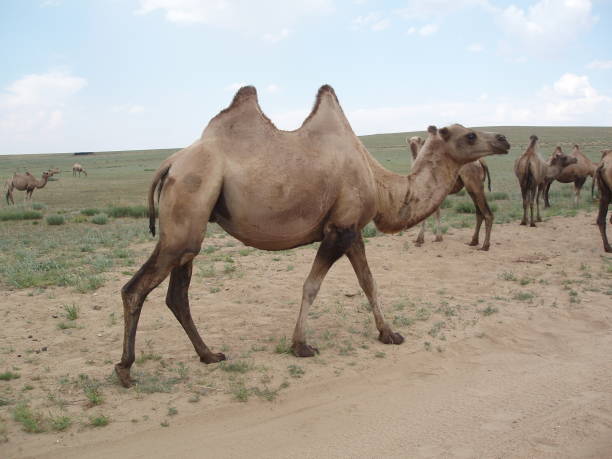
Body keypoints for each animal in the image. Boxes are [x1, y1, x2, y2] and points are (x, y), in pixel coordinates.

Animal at [112, 85, 510, 388]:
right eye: (469, 134)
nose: (504, 139)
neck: (380, 184)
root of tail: (172, 162)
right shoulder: (339, 230)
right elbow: (312, 286)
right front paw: (301, 345)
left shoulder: (353, 230)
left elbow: (369, 282)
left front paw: (389, 334)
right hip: (188, 204)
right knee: (135, 289)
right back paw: (126, 371)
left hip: (191, 226)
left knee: (177, 295)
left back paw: (209, 355)